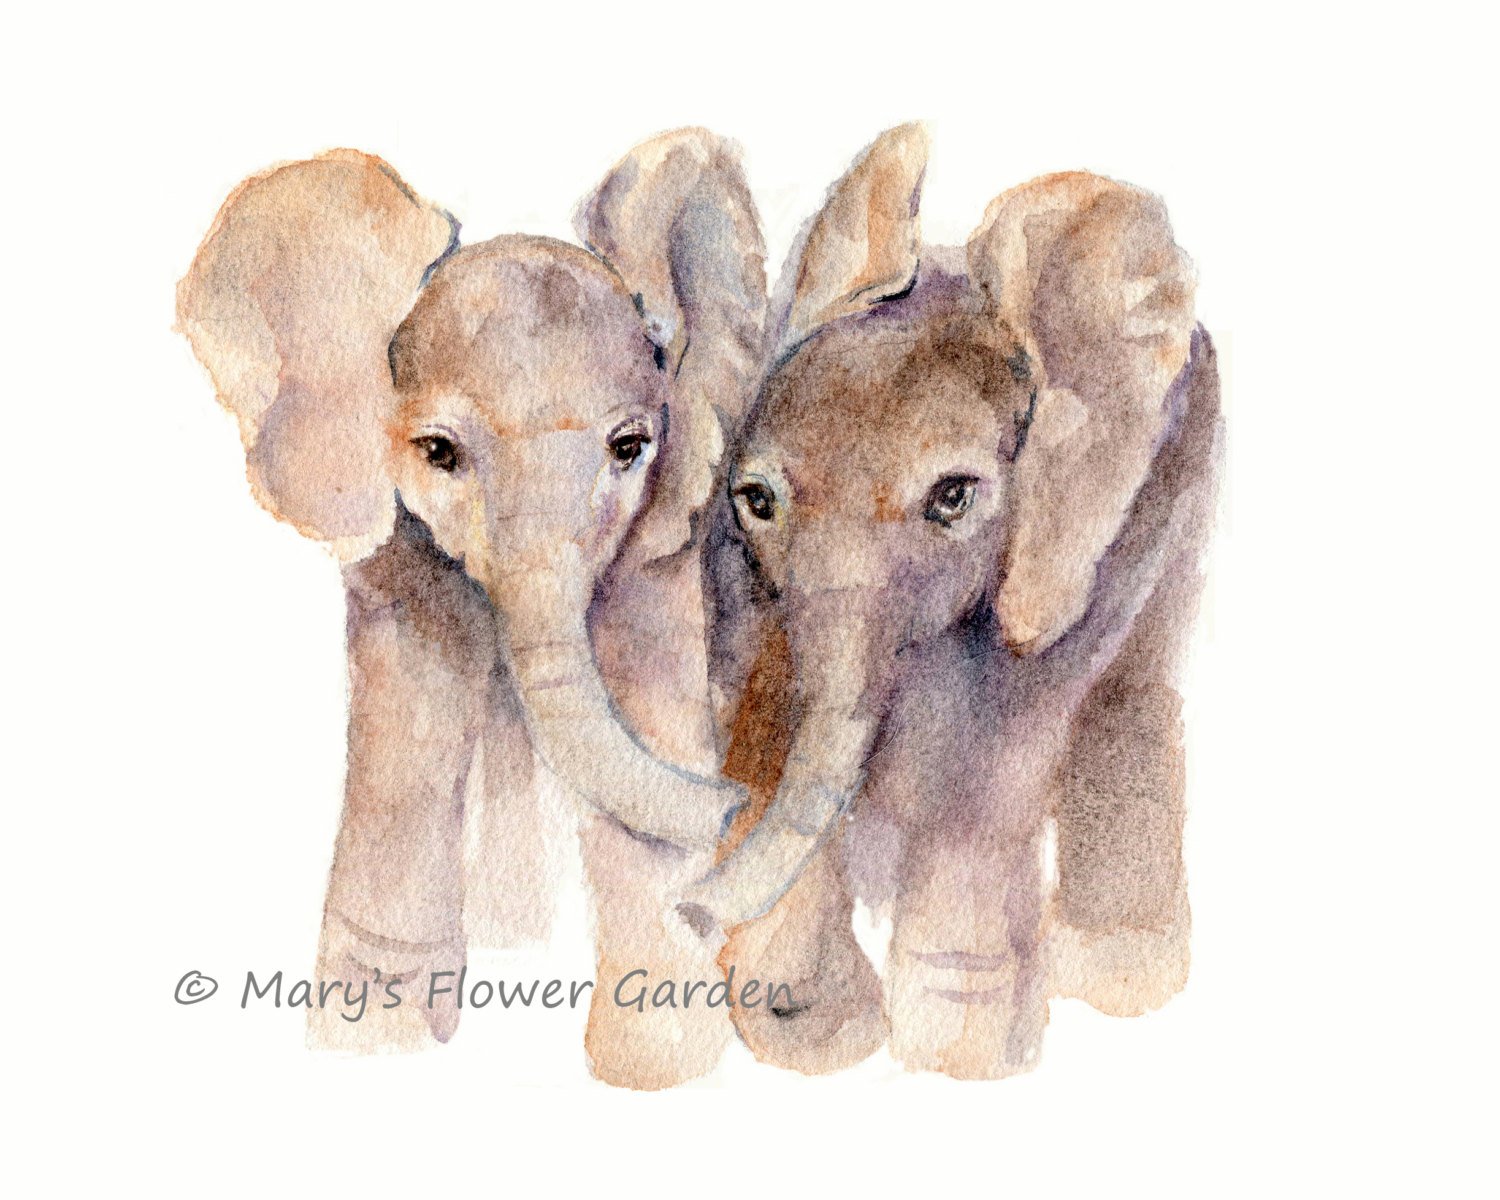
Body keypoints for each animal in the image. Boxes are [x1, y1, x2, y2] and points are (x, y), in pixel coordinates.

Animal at [682, 125, 1222, 1079]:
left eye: (954, 497)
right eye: (757, 500)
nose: (692, 911)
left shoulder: (1080, 535)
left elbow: (993, 747)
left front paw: (959, 1055)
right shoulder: (735, 571)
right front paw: (816, 1036)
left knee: (1133, 688)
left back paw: (1120, 981)